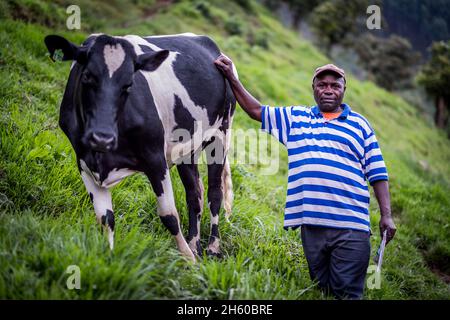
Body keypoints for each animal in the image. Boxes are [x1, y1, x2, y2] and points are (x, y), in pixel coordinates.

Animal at [44, 32, 237, 262]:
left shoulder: (156, 159)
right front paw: (108, 256)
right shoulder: (84, 160)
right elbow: (105, 217)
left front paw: (188, 261)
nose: (102, 137)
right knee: (194, 193)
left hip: (221, 135)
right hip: (187, 149)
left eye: (128, 85)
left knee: (214, 193)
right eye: (87, 76)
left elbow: (169, 215)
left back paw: (212, 248)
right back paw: (194, 244)